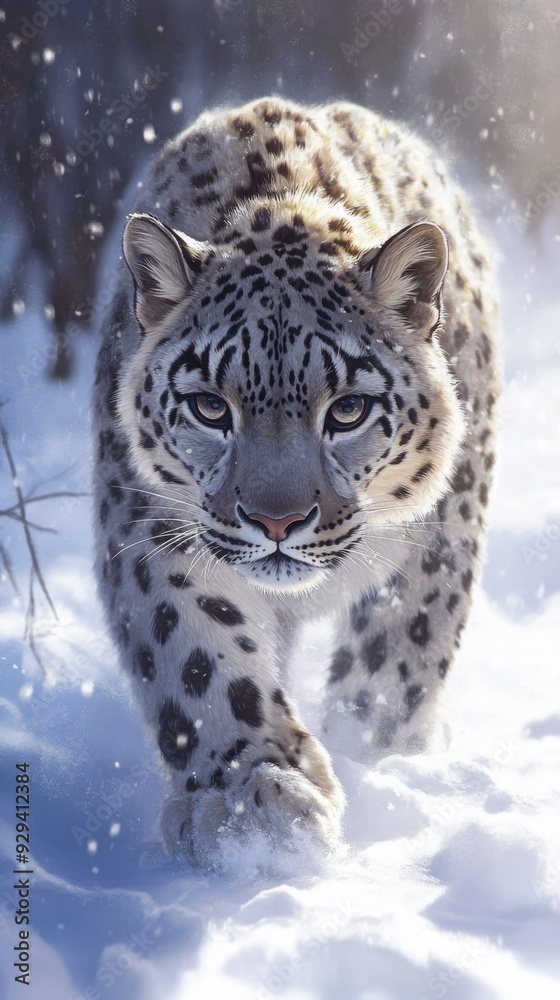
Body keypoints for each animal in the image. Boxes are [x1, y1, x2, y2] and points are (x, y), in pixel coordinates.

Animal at [92, 96, 500, 864]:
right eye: (209, 406)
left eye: (347, 410)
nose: (276, 520)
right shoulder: (146, 525)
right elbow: (197, 654)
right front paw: (258, 800)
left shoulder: (441, 531)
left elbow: (399, 653)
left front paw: (369, 752)